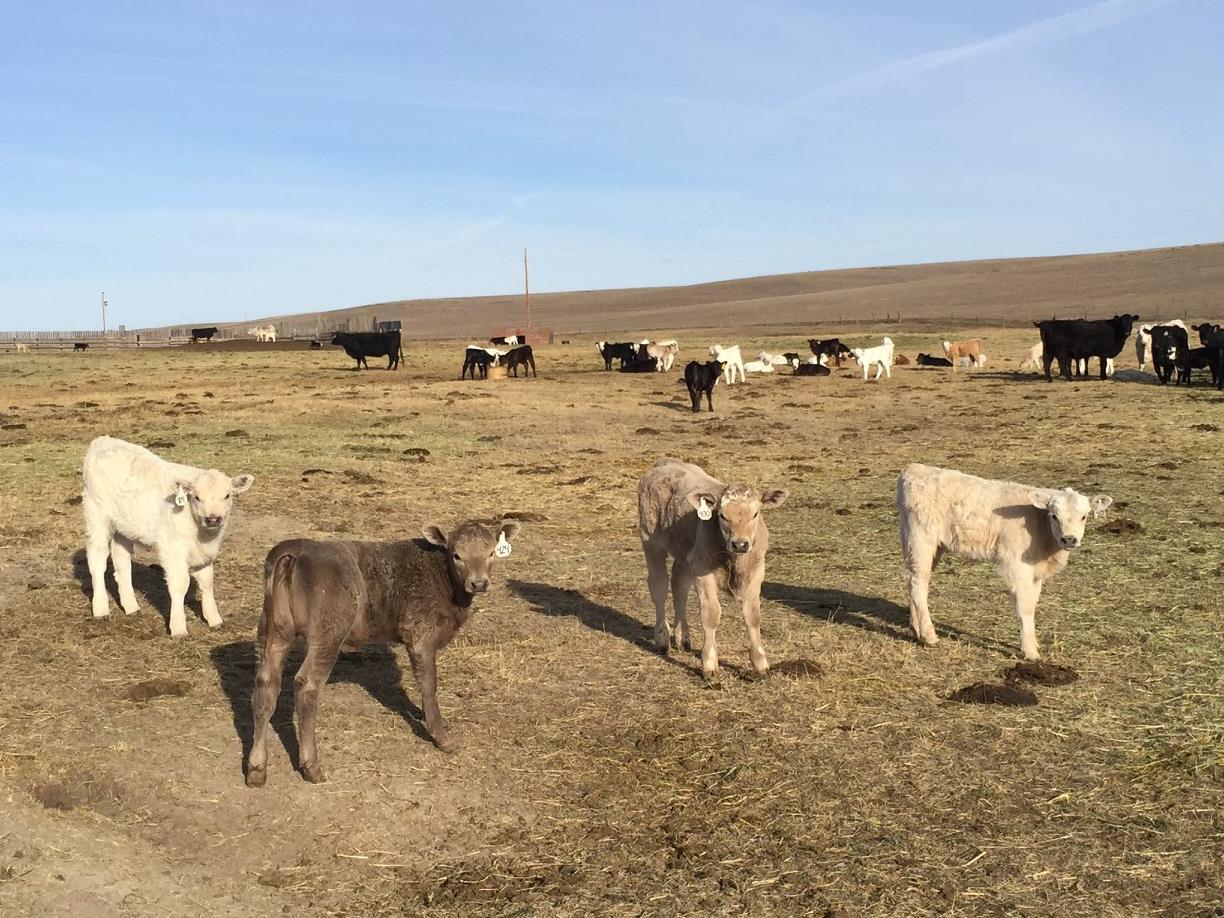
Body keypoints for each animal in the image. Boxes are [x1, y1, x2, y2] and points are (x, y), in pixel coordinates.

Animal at [82, 436, 254, 637]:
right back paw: (101, 609)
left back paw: (131, 607)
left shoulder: (206, 552)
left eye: (227, 495)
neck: (201, 535)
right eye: (196, 497)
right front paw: (178, 627)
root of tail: (102, 440)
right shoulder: (172, 548)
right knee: (97, 559)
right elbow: (180, 584)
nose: (213, 518)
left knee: (121, 559)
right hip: (96, 515)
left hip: (124, 526)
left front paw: (214, 619)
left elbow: (207, 582)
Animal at [245, 517, 522, 786]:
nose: (479, 583)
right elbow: (429, 683)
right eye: (456, 555)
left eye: (490, 553)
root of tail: (295, 549)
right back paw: (311, 767)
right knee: (306, 686)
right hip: (327, 634)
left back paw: (256, 769)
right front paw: (441, 737)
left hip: (272, 631)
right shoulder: (420, 635)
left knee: (265, 684)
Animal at [637, 458, 788, 681]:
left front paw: (760, 663)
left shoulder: (756, 572)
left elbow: (753, 615)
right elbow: (711, 614)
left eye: (755, 513)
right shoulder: (703, 570)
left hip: (685, 554)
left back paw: (682, 638)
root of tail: (664, 463)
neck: (734, 561)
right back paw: (662, 639)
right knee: (659, 588)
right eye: (723, 515)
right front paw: (709, 664)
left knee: (679, 586)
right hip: (651, 542)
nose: (740, 544)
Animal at [897, 463, 1111, 661]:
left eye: (1084, 516)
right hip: (921, 540)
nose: (1069, 539)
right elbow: (1025, 605)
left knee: (914, 580)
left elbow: (1033, 601)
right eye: (1054, 516)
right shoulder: (1018, 565)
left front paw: (1033, 643)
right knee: (918, 583)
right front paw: (1030, 651)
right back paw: (929, 635)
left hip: (925, 546)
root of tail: (913, 469)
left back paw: (916, 629)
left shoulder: (1035, 571)